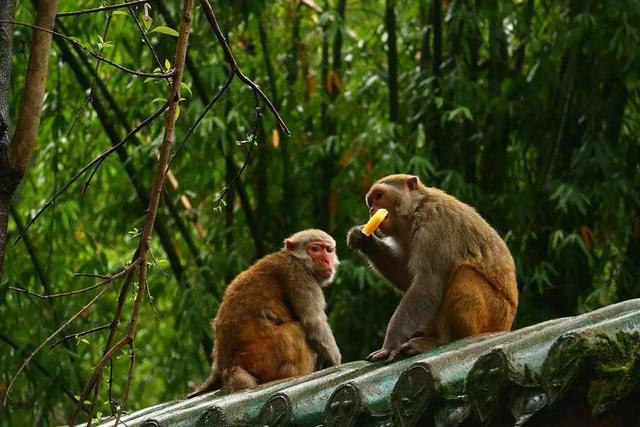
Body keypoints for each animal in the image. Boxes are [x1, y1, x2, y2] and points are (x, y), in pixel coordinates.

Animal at [188, 231, 342, 398]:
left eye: (328, 250)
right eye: (315, 249)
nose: (326, 260)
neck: (295, 258)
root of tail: (231, 366)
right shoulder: (299, 276)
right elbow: (314, 323)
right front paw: (335, 362)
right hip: (268, 360)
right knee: (298, 331)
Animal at [348, 176, 516, 362]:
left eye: (379, 196)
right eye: (370, 201)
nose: (372, 210)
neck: (416, 210)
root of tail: (506, 326)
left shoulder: (435, 227)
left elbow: (428, 282)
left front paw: (391, 343)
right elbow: (407, 278)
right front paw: (364, 240)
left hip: (496, 314)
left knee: (464, 274)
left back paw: (443, 340)